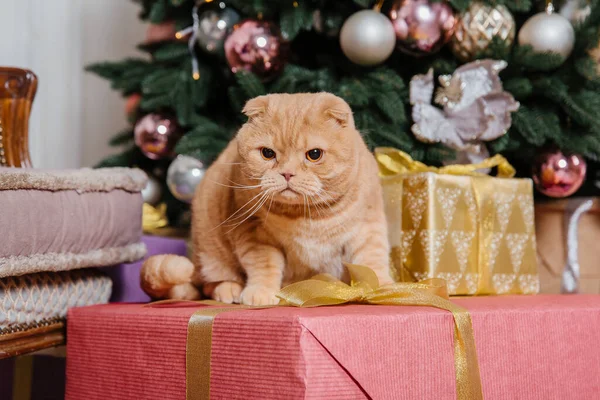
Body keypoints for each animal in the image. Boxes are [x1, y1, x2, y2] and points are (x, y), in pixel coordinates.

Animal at [142, 93, 394, 306]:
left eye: (314, 154)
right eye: (267, 153)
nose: (287, 173)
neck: (307, 216)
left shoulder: (368, 227)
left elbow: (372, 259)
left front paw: (382, 287)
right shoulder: (254, 234)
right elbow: (264, 266)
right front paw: (261, 292)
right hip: (209, 248)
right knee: (210, 283)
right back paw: (229, 290)